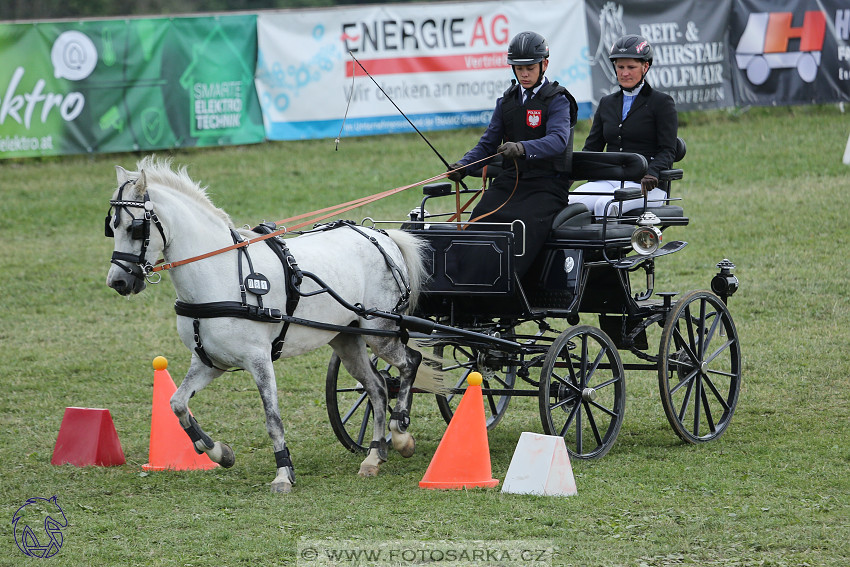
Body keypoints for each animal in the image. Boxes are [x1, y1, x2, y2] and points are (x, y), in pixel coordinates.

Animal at [104, 155, 444, 492]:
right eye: (112, 227)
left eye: (136, 228)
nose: (117, 282)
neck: (222, 272)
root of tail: (381, 237)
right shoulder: (209, 361)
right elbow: (177, 403)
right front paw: (220, 453)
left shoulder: (259, 359)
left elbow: (272, 419)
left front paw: (283, 473)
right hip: (346, 338)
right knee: (377, 388)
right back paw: (373, 457)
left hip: (381, 332)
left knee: (410, 363)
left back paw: (400, 433)